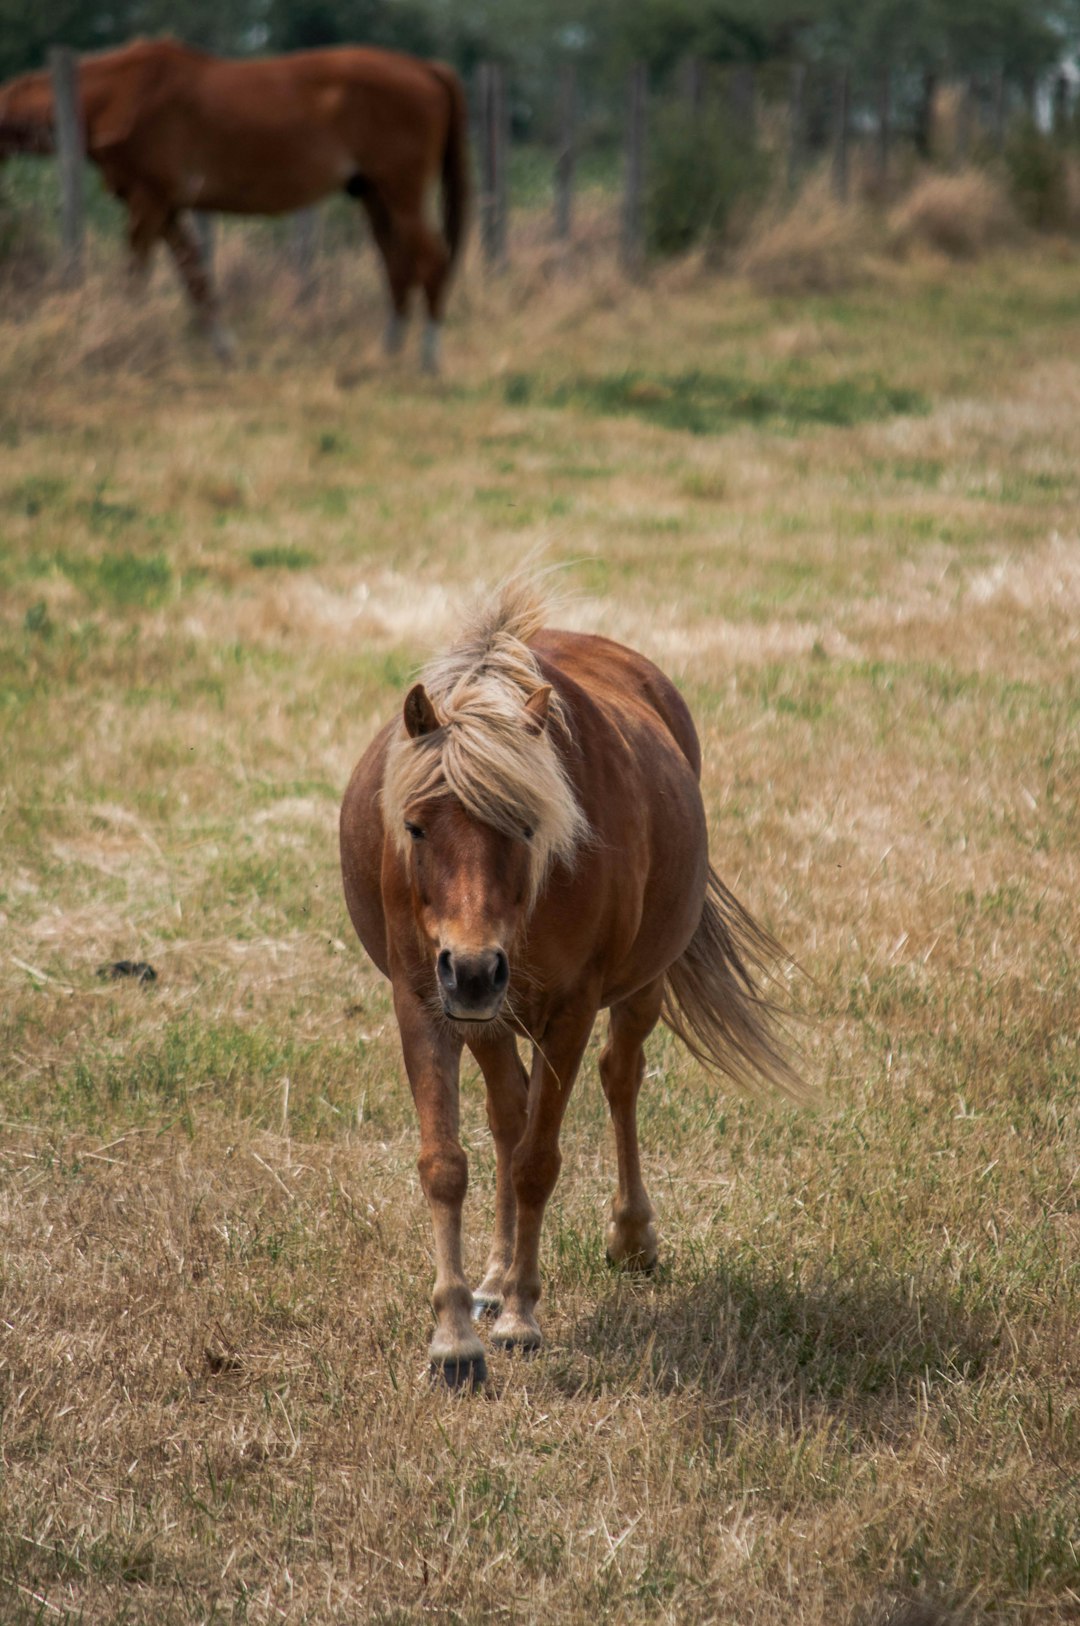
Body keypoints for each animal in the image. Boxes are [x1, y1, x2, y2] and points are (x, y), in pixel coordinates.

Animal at [2, 37, 471, 369]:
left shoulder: (148, 203)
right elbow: (196, 278)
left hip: (402, 195)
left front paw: (120, 333)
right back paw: (388, 354)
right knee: (398, 267)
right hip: (375, 198)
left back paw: (429, 360)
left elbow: (135, 276)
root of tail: (425, 67)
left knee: (431, 262)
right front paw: (225, 349)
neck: (122, 94)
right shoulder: (168, 210)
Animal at [341, 585, 806, 1385]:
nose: (474, 968)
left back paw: (631, 1238)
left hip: (636, 986)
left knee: (620, 1079)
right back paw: (494, 1276)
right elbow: (447, 1161)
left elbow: (538, 1162)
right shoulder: (423, 1002)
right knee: (508, 1113)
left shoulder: (572, 1007)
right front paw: (456, 1334)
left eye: (529, 827)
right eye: (416, 827)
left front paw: (521, 1318)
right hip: (486, 1017)